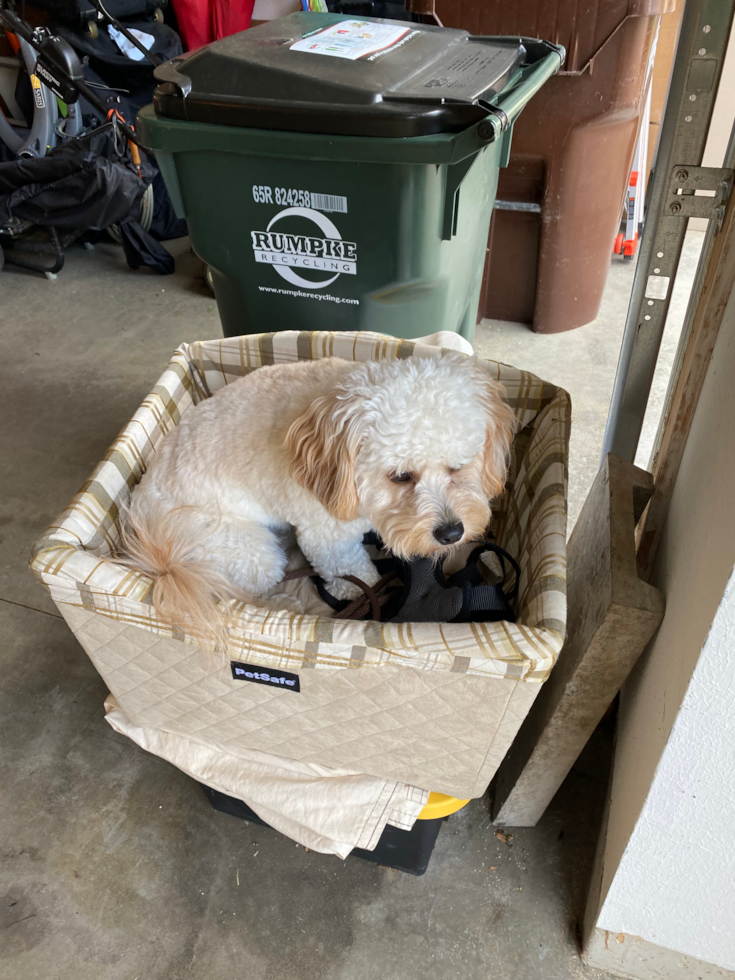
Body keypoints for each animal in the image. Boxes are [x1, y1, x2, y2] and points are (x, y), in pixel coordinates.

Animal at [123, 352, 516, 636]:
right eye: (401, 476)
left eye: (458, 467)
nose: (451, 533)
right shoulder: (329, 536)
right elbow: (356, 574)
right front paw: (365, 593)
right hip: (242, 551)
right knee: (231, 592)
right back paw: (284, 604)